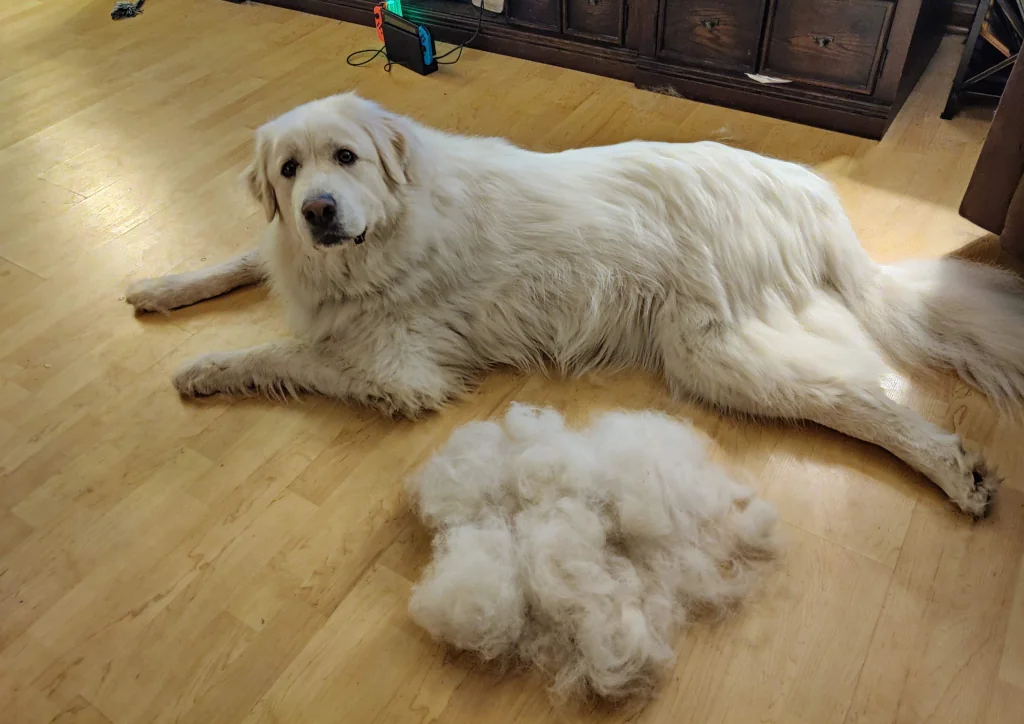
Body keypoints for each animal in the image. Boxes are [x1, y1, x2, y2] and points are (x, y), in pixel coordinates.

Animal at [125, 93, 1024, 518]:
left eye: (345, 158)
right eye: (288, 171)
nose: (317, 211)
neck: (390, 221)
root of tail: (810, 195)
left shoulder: (395, 366)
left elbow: (281, 354)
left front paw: (202, 368)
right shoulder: (300, 262)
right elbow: (243, 258)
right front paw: (157, 288)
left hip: (718, 354)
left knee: (862, 400)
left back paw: (954, 470)